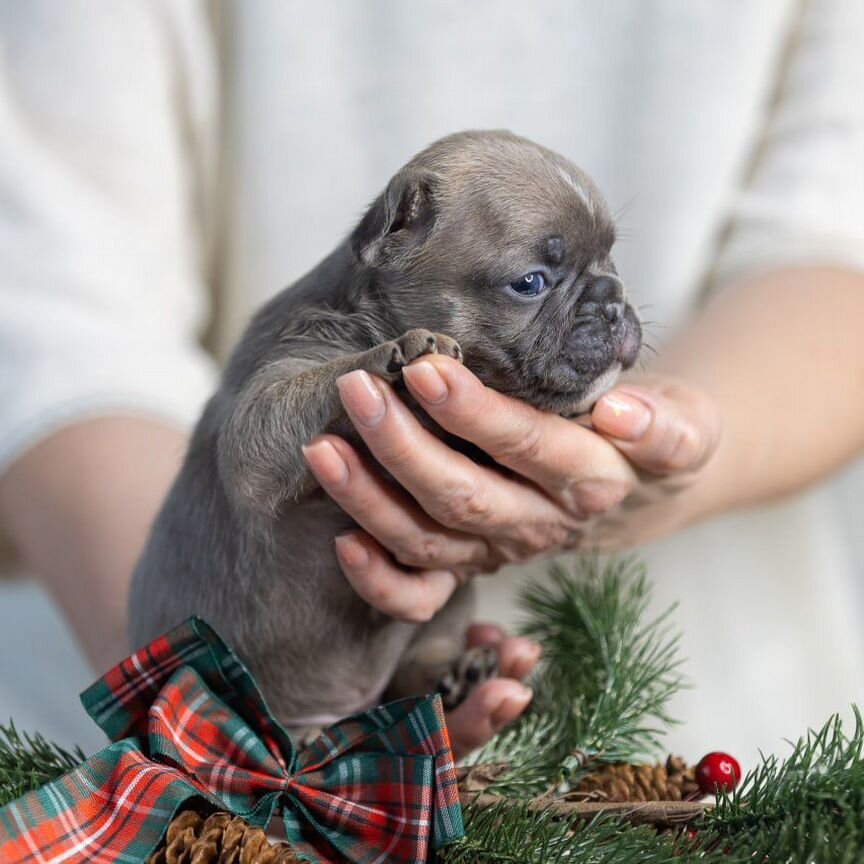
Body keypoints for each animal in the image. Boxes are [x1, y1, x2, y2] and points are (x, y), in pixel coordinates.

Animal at [130, 130, 640, 736]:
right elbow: (316, 387)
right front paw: (394, 358)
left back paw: (461, 673)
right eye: (530, 283)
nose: (612, 300)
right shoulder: (262, 417)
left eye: (612, 258)